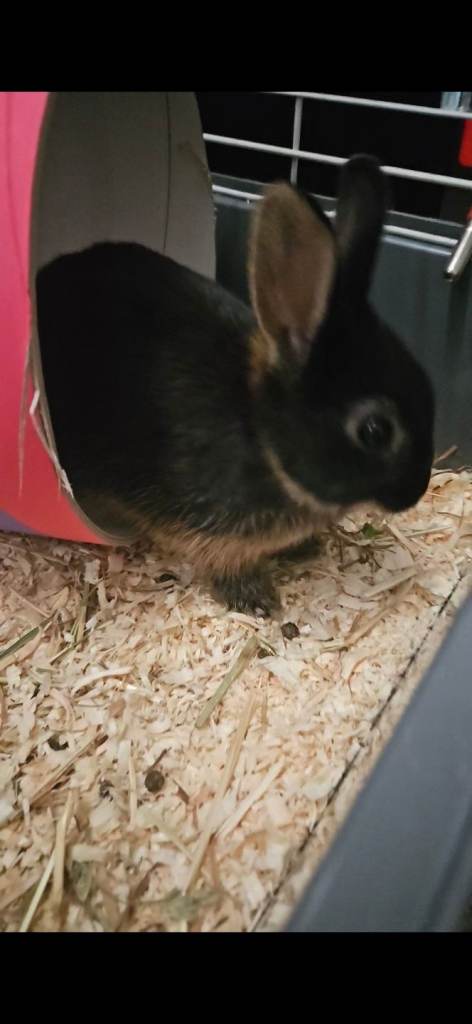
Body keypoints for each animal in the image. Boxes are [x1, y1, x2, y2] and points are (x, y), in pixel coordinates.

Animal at [36, 155, 434, 616]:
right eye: (375, 431)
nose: (415, 493)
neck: (261, 437)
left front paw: (303, 549)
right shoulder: (211, 533)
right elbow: (227, 565)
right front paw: (258, 600)